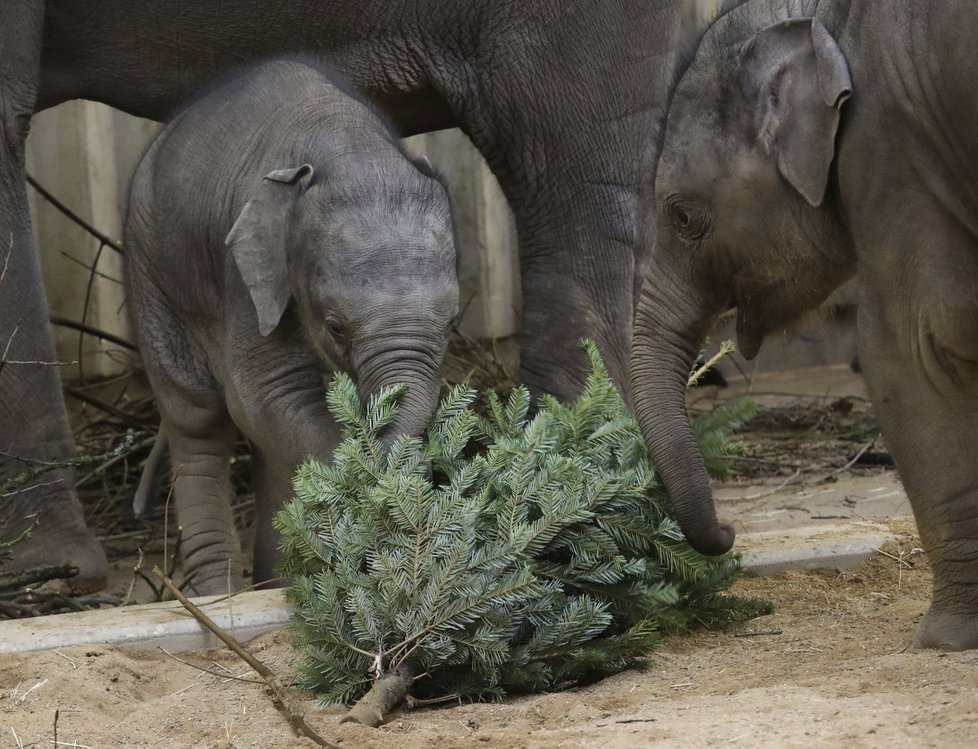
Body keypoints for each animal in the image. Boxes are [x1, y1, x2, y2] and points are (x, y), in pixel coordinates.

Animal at [125, 57, 458, 596]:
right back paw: (218, 594)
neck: (346, 145)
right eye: (336, 326)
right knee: (197, 417)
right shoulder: (242, 272)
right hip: (152, 274)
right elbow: (265, 393)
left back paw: (277, 583)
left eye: (452, 323)